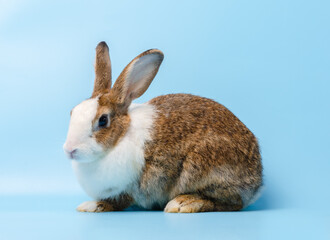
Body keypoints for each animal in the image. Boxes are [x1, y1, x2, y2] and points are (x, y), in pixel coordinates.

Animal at [62, 41, 262, 214]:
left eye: (103, 120)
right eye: (72, 112)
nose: (70, 150)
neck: (119, 138)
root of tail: (257, 180)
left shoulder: (127, 188)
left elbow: (116, 202)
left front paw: (92, 205)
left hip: (203, 166)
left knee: (232, 203)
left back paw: (184, 203)